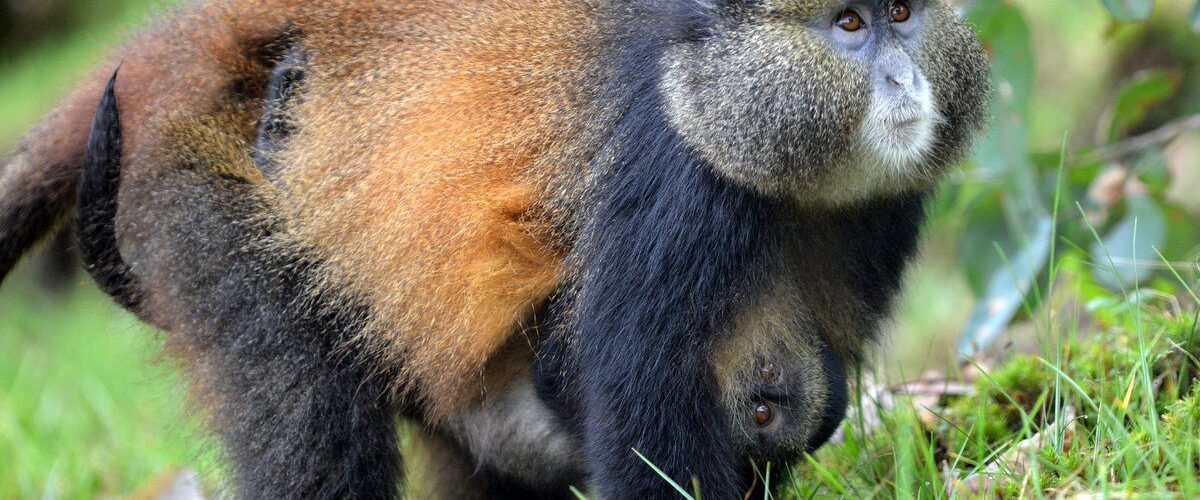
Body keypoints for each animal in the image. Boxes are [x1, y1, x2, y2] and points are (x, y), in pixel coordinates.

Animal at [0, 0, 990, 498]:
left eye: (902, 12)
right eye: (848, 24)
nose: (904, 80)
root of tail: (178, 46)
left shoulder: (881, 214)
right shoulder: (673, 191)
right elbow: (638, 421)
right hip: (197, 191)